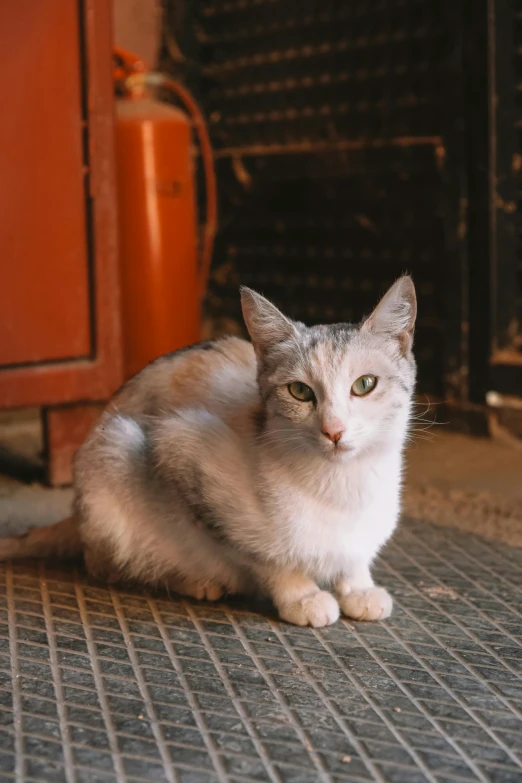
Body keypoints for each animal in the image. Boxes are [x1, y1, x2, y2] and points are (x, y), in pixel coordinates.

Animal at [0, 278, 414, 628]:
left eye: (364, 384)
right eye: (300, 392)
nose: (334, 430)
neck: (346, 488)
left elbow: (354, 557)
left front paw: (359, 588)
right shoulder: (184, 447)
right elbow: (264, 556)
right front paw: (302, 596)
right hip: (116, 450)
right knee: (105, 565)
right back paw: (195, 581)